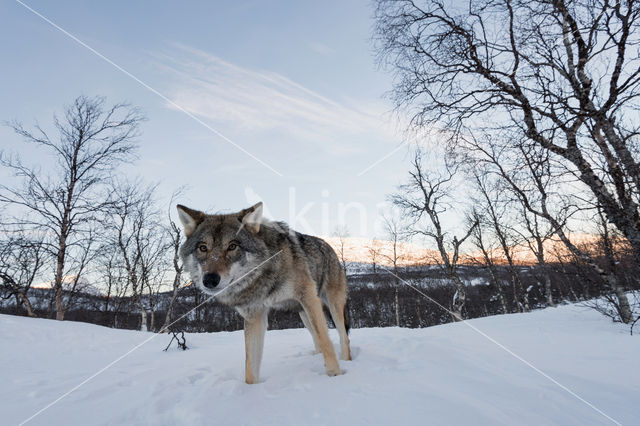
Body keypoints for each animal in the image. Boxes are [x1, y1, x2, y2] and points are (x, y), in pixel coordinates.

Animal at [178, 201, 352, 384]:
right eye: (203, 248)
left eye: (232, 246)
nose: (210, 280)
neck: (264, 274)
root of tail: (330, 247)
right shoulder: (254, 315)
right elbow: (250, 366)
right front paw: (250, 389)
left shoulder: (308, 296)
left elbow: (325, 340)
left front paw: (334, 375)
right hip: (304, 314)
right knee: (316, 339)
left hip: (330, 306)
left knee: (343, 337)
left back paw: (346, 361)